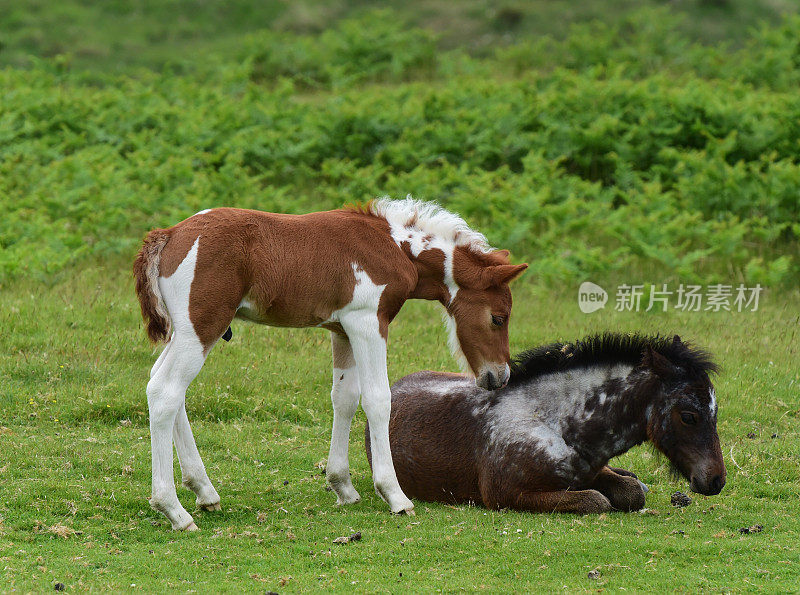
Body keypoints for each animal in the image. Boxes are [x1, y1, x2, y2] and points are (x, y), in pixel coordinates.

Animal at [134, 200, 528, 532]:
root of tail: (169, 235)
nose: (499, 376)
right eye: (498, 318)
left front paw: (343, 486)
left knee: (163, 385)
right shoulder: (368, 322)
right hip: (202, 326)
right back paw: (174, 510)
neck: (394, 247)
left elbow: (345, 398)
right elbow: (378, 399)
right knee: (165, 391)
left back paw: (204, 492)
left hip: (185, 330)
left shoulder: (342, 330)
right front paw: (395, 495)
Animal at [368, 332, 724, 516]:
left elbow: (631, 492)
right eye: (689, 416)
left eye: (715, 411)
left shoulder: (592, 470)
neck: (557, 423)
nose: (716, 480)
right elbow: (596, 500)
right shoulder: (507, 494)